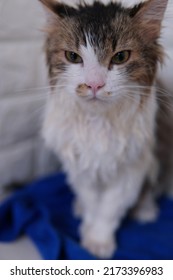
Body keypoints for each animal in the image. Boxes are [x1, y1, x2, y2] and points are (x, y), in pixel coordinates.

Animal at [38, 0, 169, 258]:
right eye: (72, 56)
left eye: (120, 57)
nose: (94, 85)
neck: (98, 121)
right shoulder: (80, 163)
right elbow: (91, 200)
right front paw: (88, 226)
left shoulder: (133, 166)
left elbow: (110, 207)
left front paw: (98, 241)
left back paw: (145, 210)